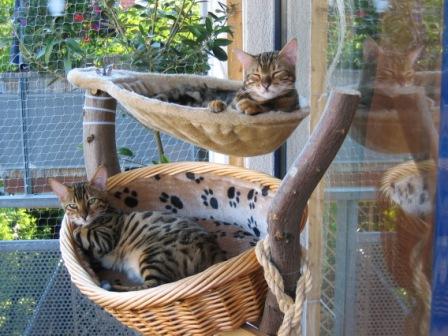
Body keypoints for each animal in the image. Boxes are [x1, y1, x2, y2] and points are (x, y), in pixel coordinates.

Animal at [49, 168, 226, 292]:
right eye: (73, 205)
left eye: (91, 201)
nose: (84, 215)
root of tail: (215, 252)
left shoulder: (104, 237)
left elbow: (79, 232)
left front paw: (78, 230)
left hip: (154, 254)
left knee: (155, 286)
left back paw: (115, 288)